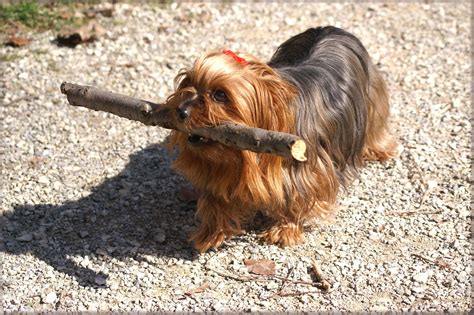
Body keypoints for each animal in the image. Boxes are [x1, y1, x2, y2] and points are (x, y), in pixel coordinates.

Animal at [163, 25, 400, 253]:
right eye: (188, 82)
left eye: (220, 95)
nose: (181, 111)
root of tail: (330, 28)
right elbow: (216, 199)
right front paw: (210, 233)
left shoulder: (304, 169)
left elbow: (297, 196)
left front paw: (284, 230)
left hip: (371, 98)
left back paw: (380, 149)